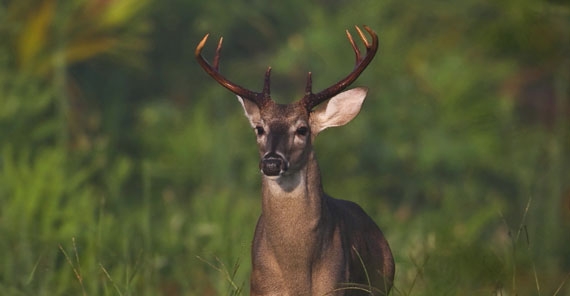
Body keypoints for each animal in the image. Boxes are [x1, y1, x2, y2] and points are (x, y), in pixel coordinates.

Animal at [194, 25, 390, 296]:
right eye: (259, 129)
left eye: (302, 129)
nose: (271, 163)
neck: (296, 274)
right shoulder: (261, 286)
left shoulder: (335, 284)